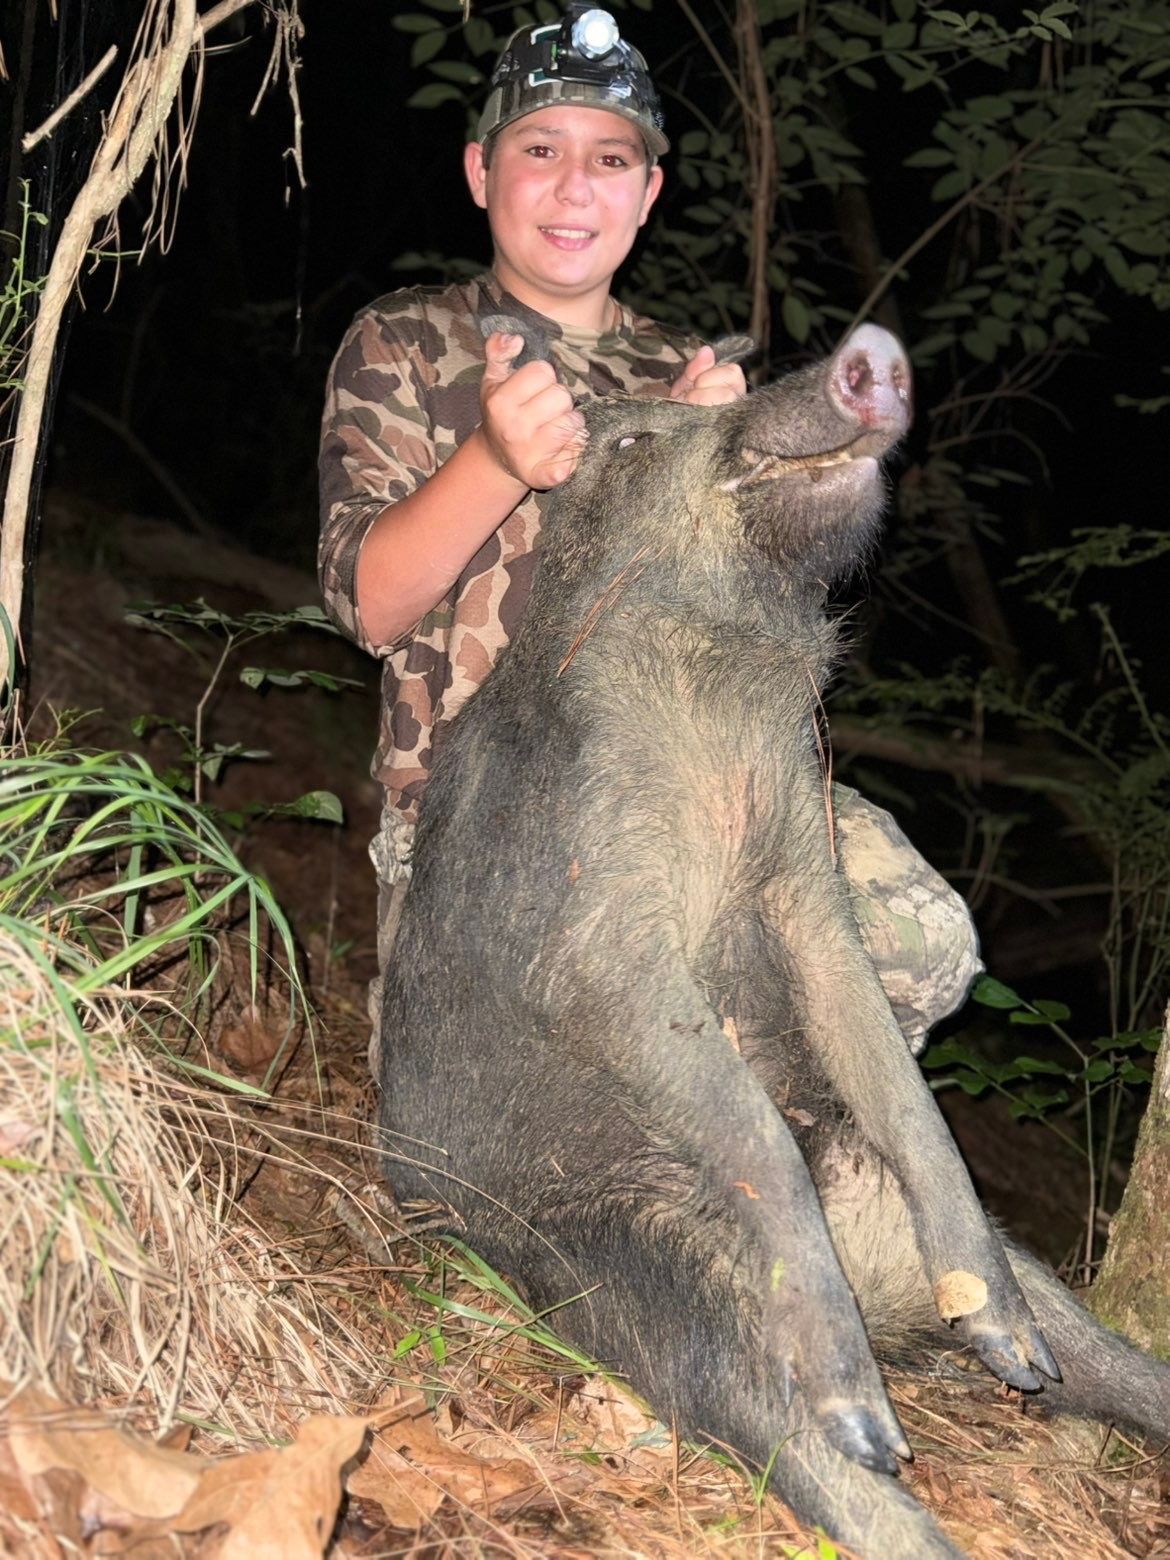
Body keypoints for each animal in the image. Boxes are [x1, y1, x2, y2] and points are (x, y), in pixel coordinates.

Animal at [376, 323, 1170, 1557]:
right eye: (634, 442)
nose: (872, 349)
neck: (722, 708)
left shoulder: (806, 871)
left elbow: (899, 1076)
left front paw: (1002, 1340)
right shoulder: (593, 928)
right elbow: (739, 1115)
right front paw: (867, 1416)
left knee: (1106, 1362)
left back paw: (1018, 1359)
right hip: (651, 1274)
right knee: (814, 1456)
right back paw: (872, 1432)